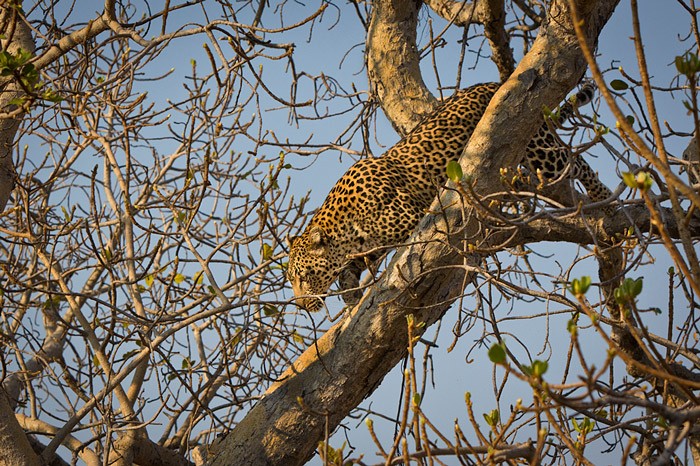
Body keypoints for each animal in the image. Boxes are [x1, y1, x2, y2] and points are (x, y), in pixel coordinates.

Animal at [288, 82, 608, 312]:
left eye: (303, 277)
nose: (302, 306)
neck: (343, 228)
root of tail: (497, 82)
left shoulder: (409, 216)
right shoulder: (369, 243)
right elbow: (349, 269)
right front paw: (351, 297)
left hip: (543, 152)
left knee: (577, 163)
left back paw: (605, 196)